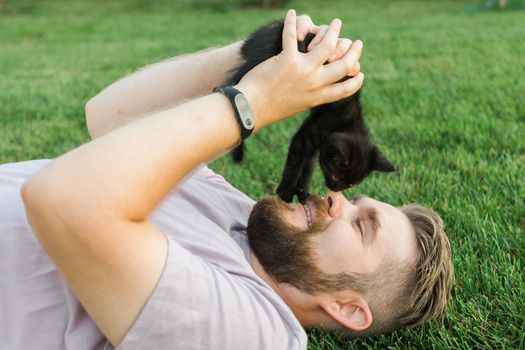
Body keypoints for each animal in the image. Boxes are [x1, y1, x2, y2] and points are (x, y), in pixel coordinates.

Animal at [225, 21, 392, 202]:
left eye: (351, 184)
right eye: (335, 177)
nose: (334, 189)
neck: (348, 123)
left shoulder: (315, 146)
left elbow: (308, 166)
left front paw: (302, 192)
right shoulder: (308, 135)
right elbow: (294, 164)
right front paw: (285, 193)